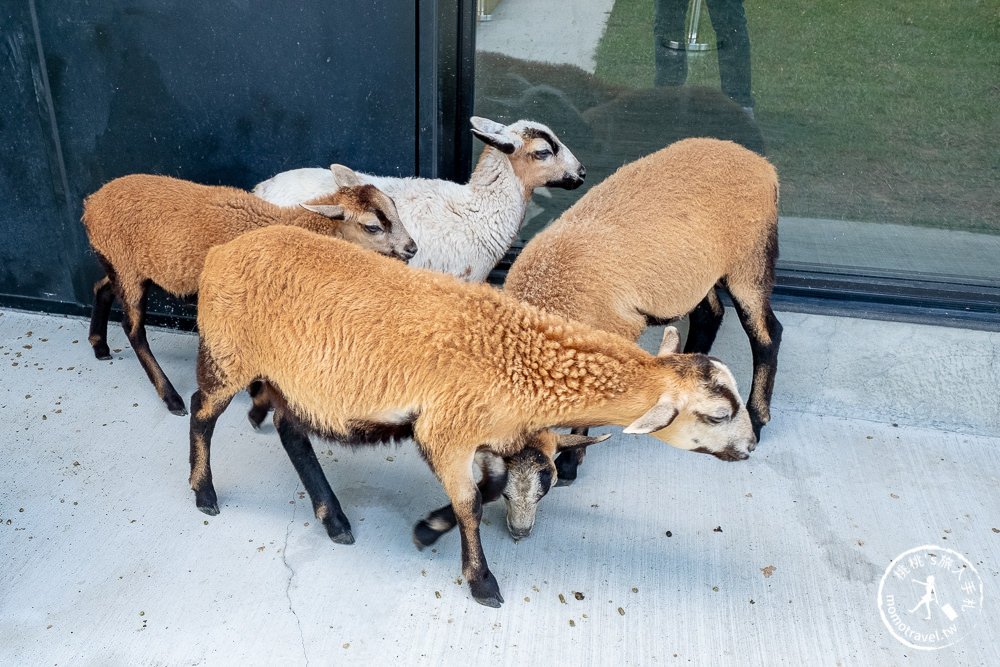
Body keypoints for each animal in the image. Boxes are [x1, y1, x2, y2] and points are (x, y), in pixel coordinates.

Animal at [81, 166, 418, 418]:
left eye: (394, 207)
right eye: (373, 226)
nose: (411, 248)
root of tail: (91, 203)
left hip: (121, 265)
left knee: (102, 288)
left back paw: (99, 346)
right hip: (128, 269)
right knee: (133, 328)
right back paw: (171, 398)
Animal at [188, 227, 752, 608]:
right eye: (719, 414)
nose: (749, 448)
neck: (522, 359)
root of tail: (221, 253)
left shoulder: (489, 437)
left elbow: (488, 488)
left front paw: (427, 528)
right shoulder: (445, 431)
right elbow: (472, 505)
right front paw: (482, 582)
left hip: (290, 379)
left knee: (291, 433)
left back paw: (335, 520)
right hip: (228, 352)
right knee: (202, 411)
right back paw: (205, 494)